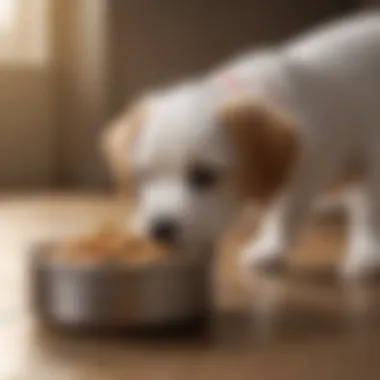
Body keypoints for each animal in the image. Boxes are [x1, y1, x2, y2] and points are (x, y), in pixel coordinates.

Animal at [101, 13, 380, 278]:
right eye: (144, 175)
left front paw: (271, 248)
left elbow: (292, 215)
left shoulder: (339, 168)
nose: (160, 229)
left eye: (204, 175)